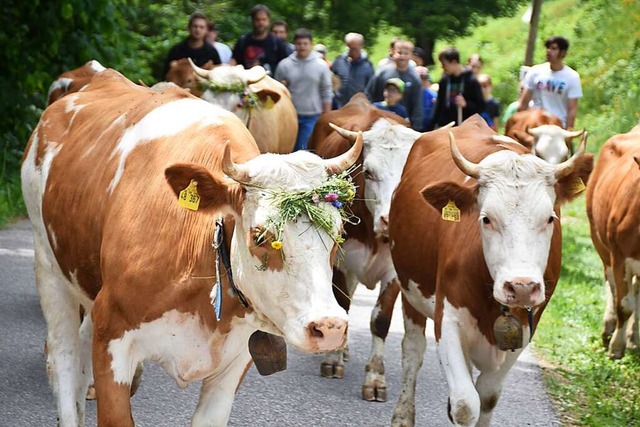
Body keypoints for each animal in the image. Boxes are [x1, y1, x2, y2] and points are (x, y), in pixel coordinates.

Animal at [21, 67, 360, 427]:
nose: (330, 326)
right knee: (63, 358)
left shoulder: (235, 361)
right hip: (48, 265)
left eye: (339, 235)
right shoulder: (113, 333)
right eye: (260, 236)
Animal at [304, 94, 440, 404]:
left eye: (408, 175)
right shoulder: (340, 261)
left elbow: (381, 320)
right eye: (369, 172)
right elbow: (342, 304)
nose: (389, 219)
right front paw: (333, 359)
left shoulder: (394, 272)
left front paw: (376, 377)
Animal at [388, 115, 592, 426]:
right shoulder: (447, 320)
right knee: (413, 352)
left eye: (550, 218)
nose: (521, 286)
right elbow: (465, 403)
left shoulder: (524, 330)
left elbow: (487, 395)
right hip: (410, 293)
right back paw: (402, 415)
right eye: (486, 218)